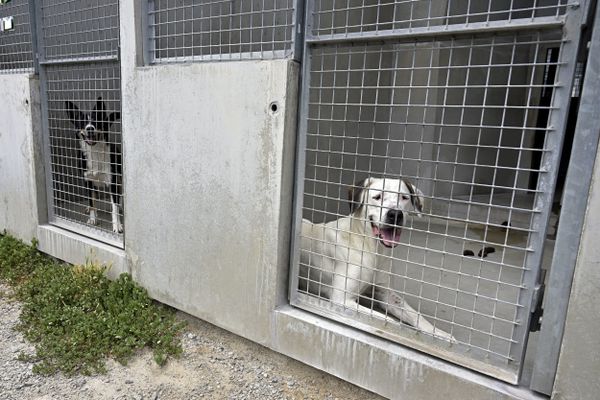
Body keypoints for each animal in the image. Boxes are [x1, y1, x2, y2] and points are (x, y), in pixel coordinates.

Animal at [65, 97, 123, 234]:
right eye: (82, 122)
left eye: (95, 121)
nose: (90, 128)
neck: (95, 152)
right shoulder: (88, 181)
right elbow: (92, 202)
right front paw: (92, 219)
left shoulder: (112, 182)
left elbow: (114, 208)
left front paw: (117, 225)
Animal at [300, 177, 454, 342]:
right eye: (377, 197)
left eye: (404, 197)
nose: (395, 214)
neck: (373, 250)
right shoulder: (341, 299)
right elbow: (385, 320)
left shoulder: (385, 292)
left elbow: (415, 314)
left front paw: (439, 334)